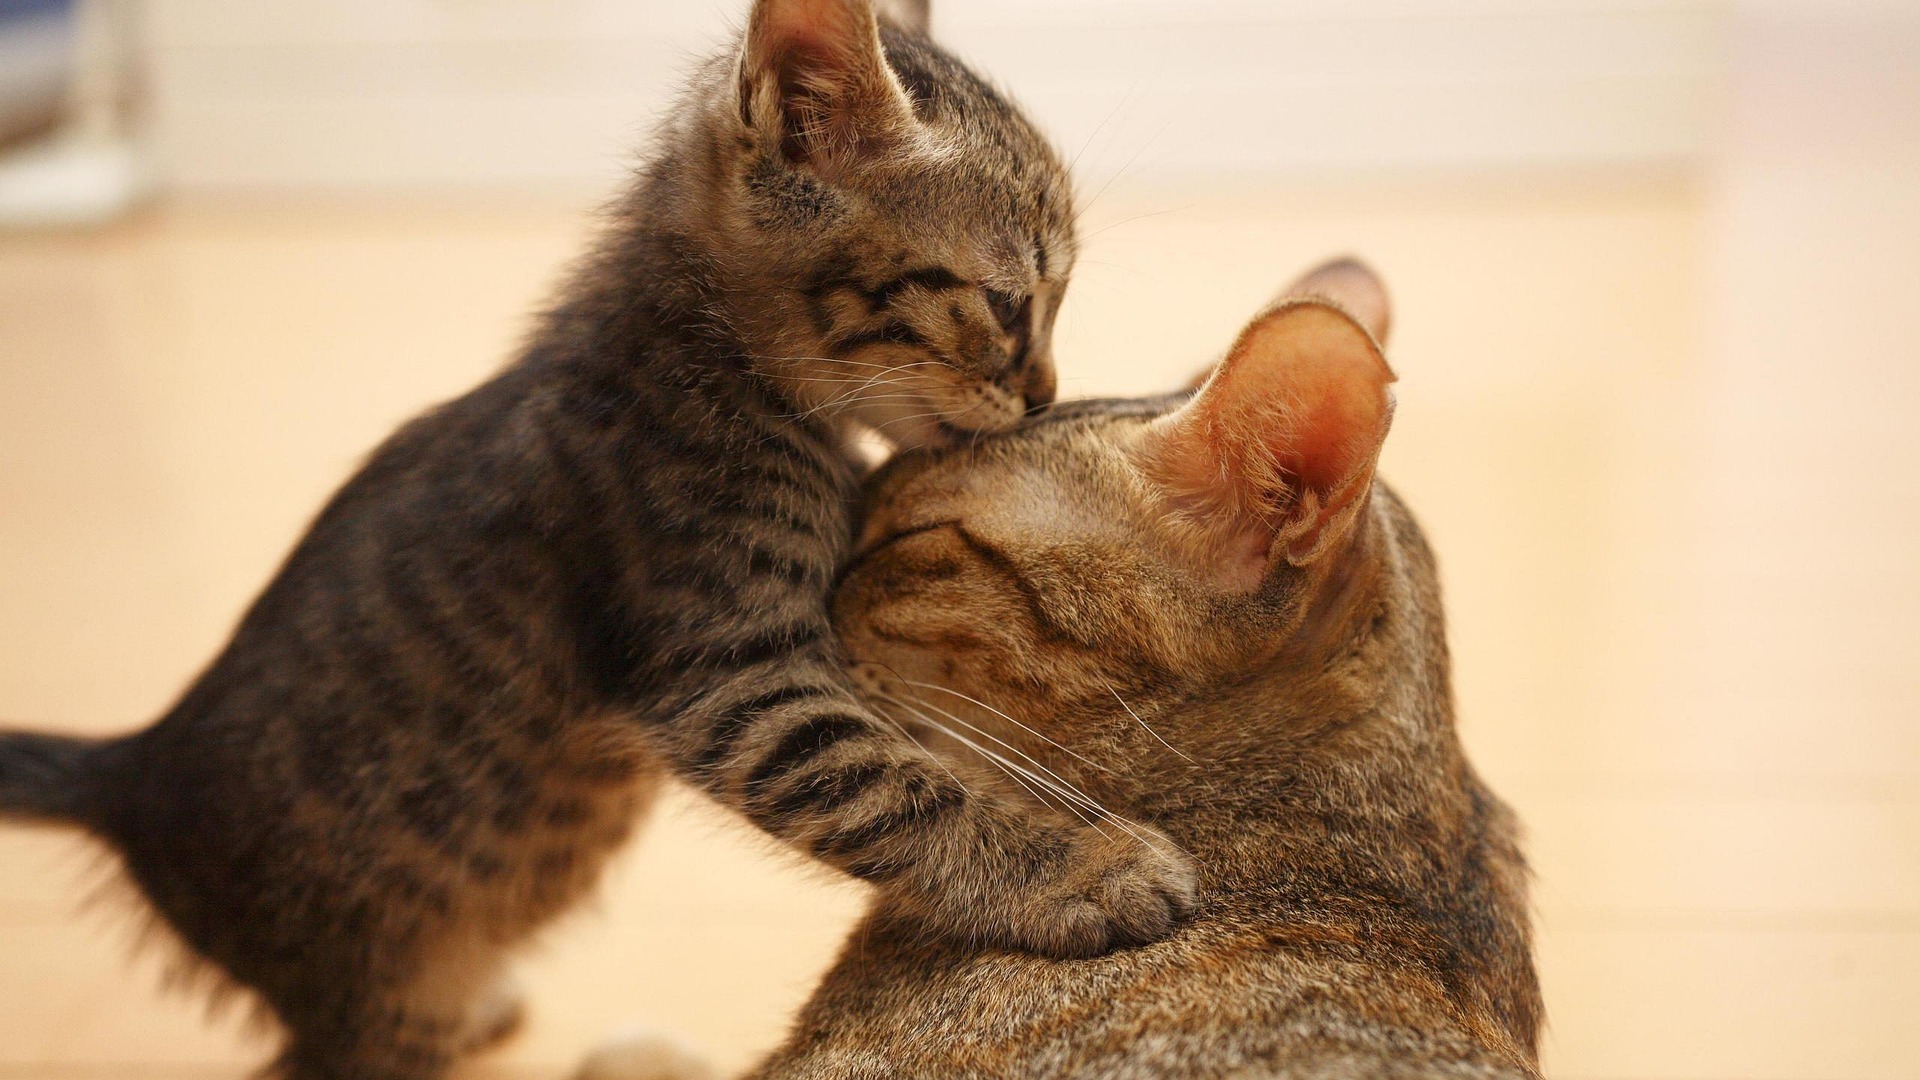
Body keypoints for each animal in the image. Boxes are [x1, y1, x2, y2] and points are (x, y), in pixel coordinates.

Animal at [0, 2, 1198, 1076]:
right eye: (1007, 304)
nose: (1044, 393)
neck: (717, 366)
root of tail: (137, 770)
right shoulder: (725, 676)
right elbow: (897, 787)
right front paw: (1084, 866)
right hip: (362, 975)